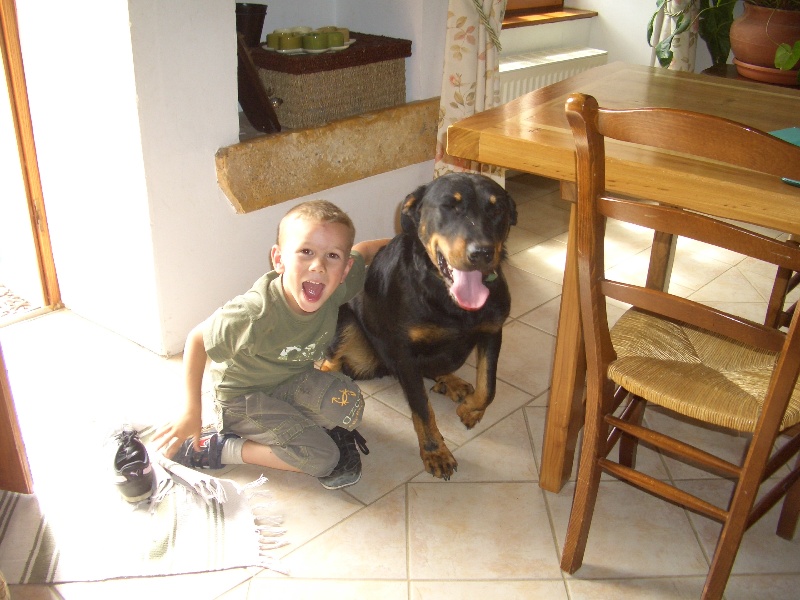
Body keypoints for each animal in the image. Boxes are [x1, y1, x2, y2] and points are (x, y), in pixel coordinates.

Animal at [324, 172, 520, 478]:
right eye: (450, 206)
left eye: (497, 209)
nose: (482, 252)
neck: (451, 302)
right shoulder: (405, 353)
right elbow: (422, 408)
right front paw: (435, 452)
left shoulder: (492, 330)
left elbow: (488, 386)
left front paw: (471, 410)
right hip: (346, 323)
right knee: (330, 361)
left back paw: (451, 382)